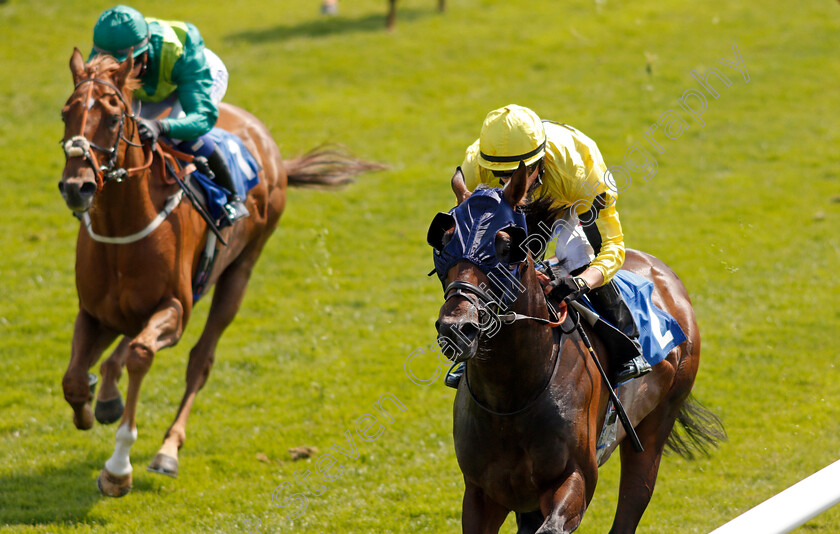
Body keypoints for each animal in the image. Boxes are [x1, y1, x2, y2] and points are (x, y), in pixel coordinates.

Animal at [60, 49, 382, 498]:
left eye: (111, 118)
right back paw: (106, 393)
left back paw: (167, 449)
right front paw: (89, 409)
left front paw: (118, 467)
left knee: (199, 359)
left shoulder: (176, 309)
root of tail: (268, 143)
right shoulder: (93, 312)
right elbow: (74, 379)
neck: (122, 230)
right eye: (65, 114)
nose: (77, 187)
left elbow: (143, 355)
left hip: (239, 271)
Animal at [430, 164, 724, 534]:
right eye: (444, 244)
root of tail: (665, 274)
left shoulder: (575, 478)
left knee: (633, 499)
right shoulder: (481, 494)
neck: (511, 398)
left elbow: (554, 525)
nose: (457, 327)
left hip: (658, 422)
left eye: (507, 247)